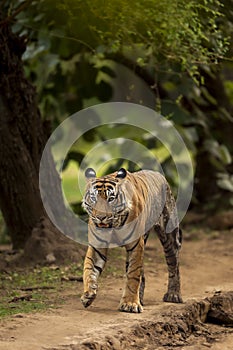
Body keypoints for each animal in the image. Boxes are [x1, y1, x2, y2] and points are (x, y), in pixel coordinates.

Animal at [81, 168, 183, 314]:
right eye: (94, 198)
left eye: (111, 199)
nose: (101, 217)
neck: (114, 224)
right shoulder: (97, 246)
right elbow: (89, 269)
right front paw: (88, 294)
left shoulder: (136, 245)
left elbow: (133, 275)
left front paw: (130, 304)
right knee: (142, 274)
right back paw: (141, 298)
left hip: (169, 236)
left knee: (174, 264)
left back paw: (173, 295)